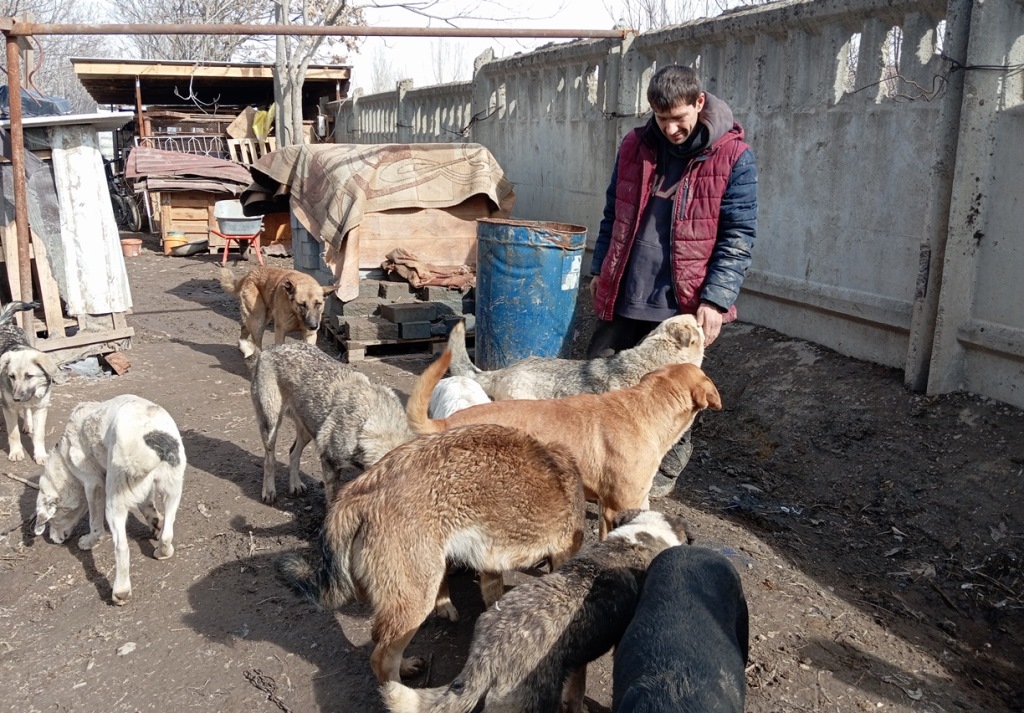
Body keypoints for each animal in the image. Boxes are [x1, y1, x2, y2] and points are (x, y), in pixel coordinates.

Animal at [0, 300, 57, 464]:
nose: (16, 398)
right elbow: (13, 433)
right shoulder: (9, 408)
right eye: (11, 376)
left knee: (26, 410)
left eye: (29, 376)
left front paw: (40, 455)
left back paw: (27, 424)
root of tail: (4, 324)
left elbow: (39, 435)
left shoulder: (41, 408)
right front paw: (16, 452)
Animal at [33, 394, 186, 606]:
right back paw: (163, 552)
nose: (52, 540)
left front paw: (89, 541)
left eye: (52, 520)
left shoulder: (94, 484)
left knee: (121, 547)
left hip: (114, 503)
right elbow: (149, 509)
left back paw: (121, 592)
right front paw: (156, 524)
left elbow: (95, 525)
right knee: (167, 534)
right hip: (173, 490)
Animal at [239, 338, 414, 504]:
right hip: (271, 425)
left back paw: (295, 484)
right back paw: (269, 491)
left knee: (293, 453)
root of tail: (265, 352)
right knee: (269, 460)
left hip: (308, 430)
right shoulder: (329, 464)